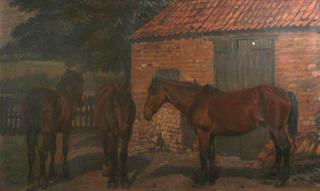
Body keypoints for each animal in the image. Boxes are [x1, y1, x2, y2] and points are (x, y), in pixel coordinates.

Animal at [142, 77, 298, 187]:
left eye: (153, 92)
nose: (146, 114)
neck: (196, 100)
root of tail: (284, 93)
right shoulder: (211, 134)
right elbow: (211, 154)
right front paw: (211, 179)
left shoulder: (202, 132)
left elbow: (203, 155)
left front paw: (201, 181)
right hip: (273, 129)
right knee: (279, 149)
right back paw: (272, 176)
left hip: (277, 129)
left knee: (285, 147)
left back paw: (282, 180)